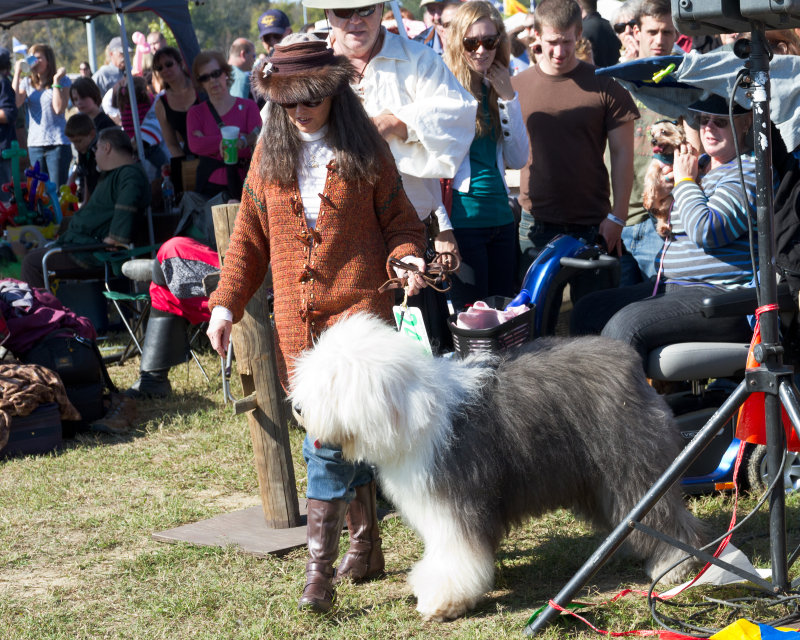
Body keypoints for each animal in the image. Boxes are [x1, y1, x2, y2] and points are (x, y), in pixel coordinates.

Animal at [290, 314, 708, 620]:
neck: (411, 412)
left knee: (667, 518)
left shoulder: (456, 503)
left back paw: (675, 565)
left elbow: (457, 554)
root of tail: (631, 363)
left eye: (330, 383)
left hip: (632, 467)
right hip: (600, 480)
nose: (296, 408)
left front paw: (442, 601)